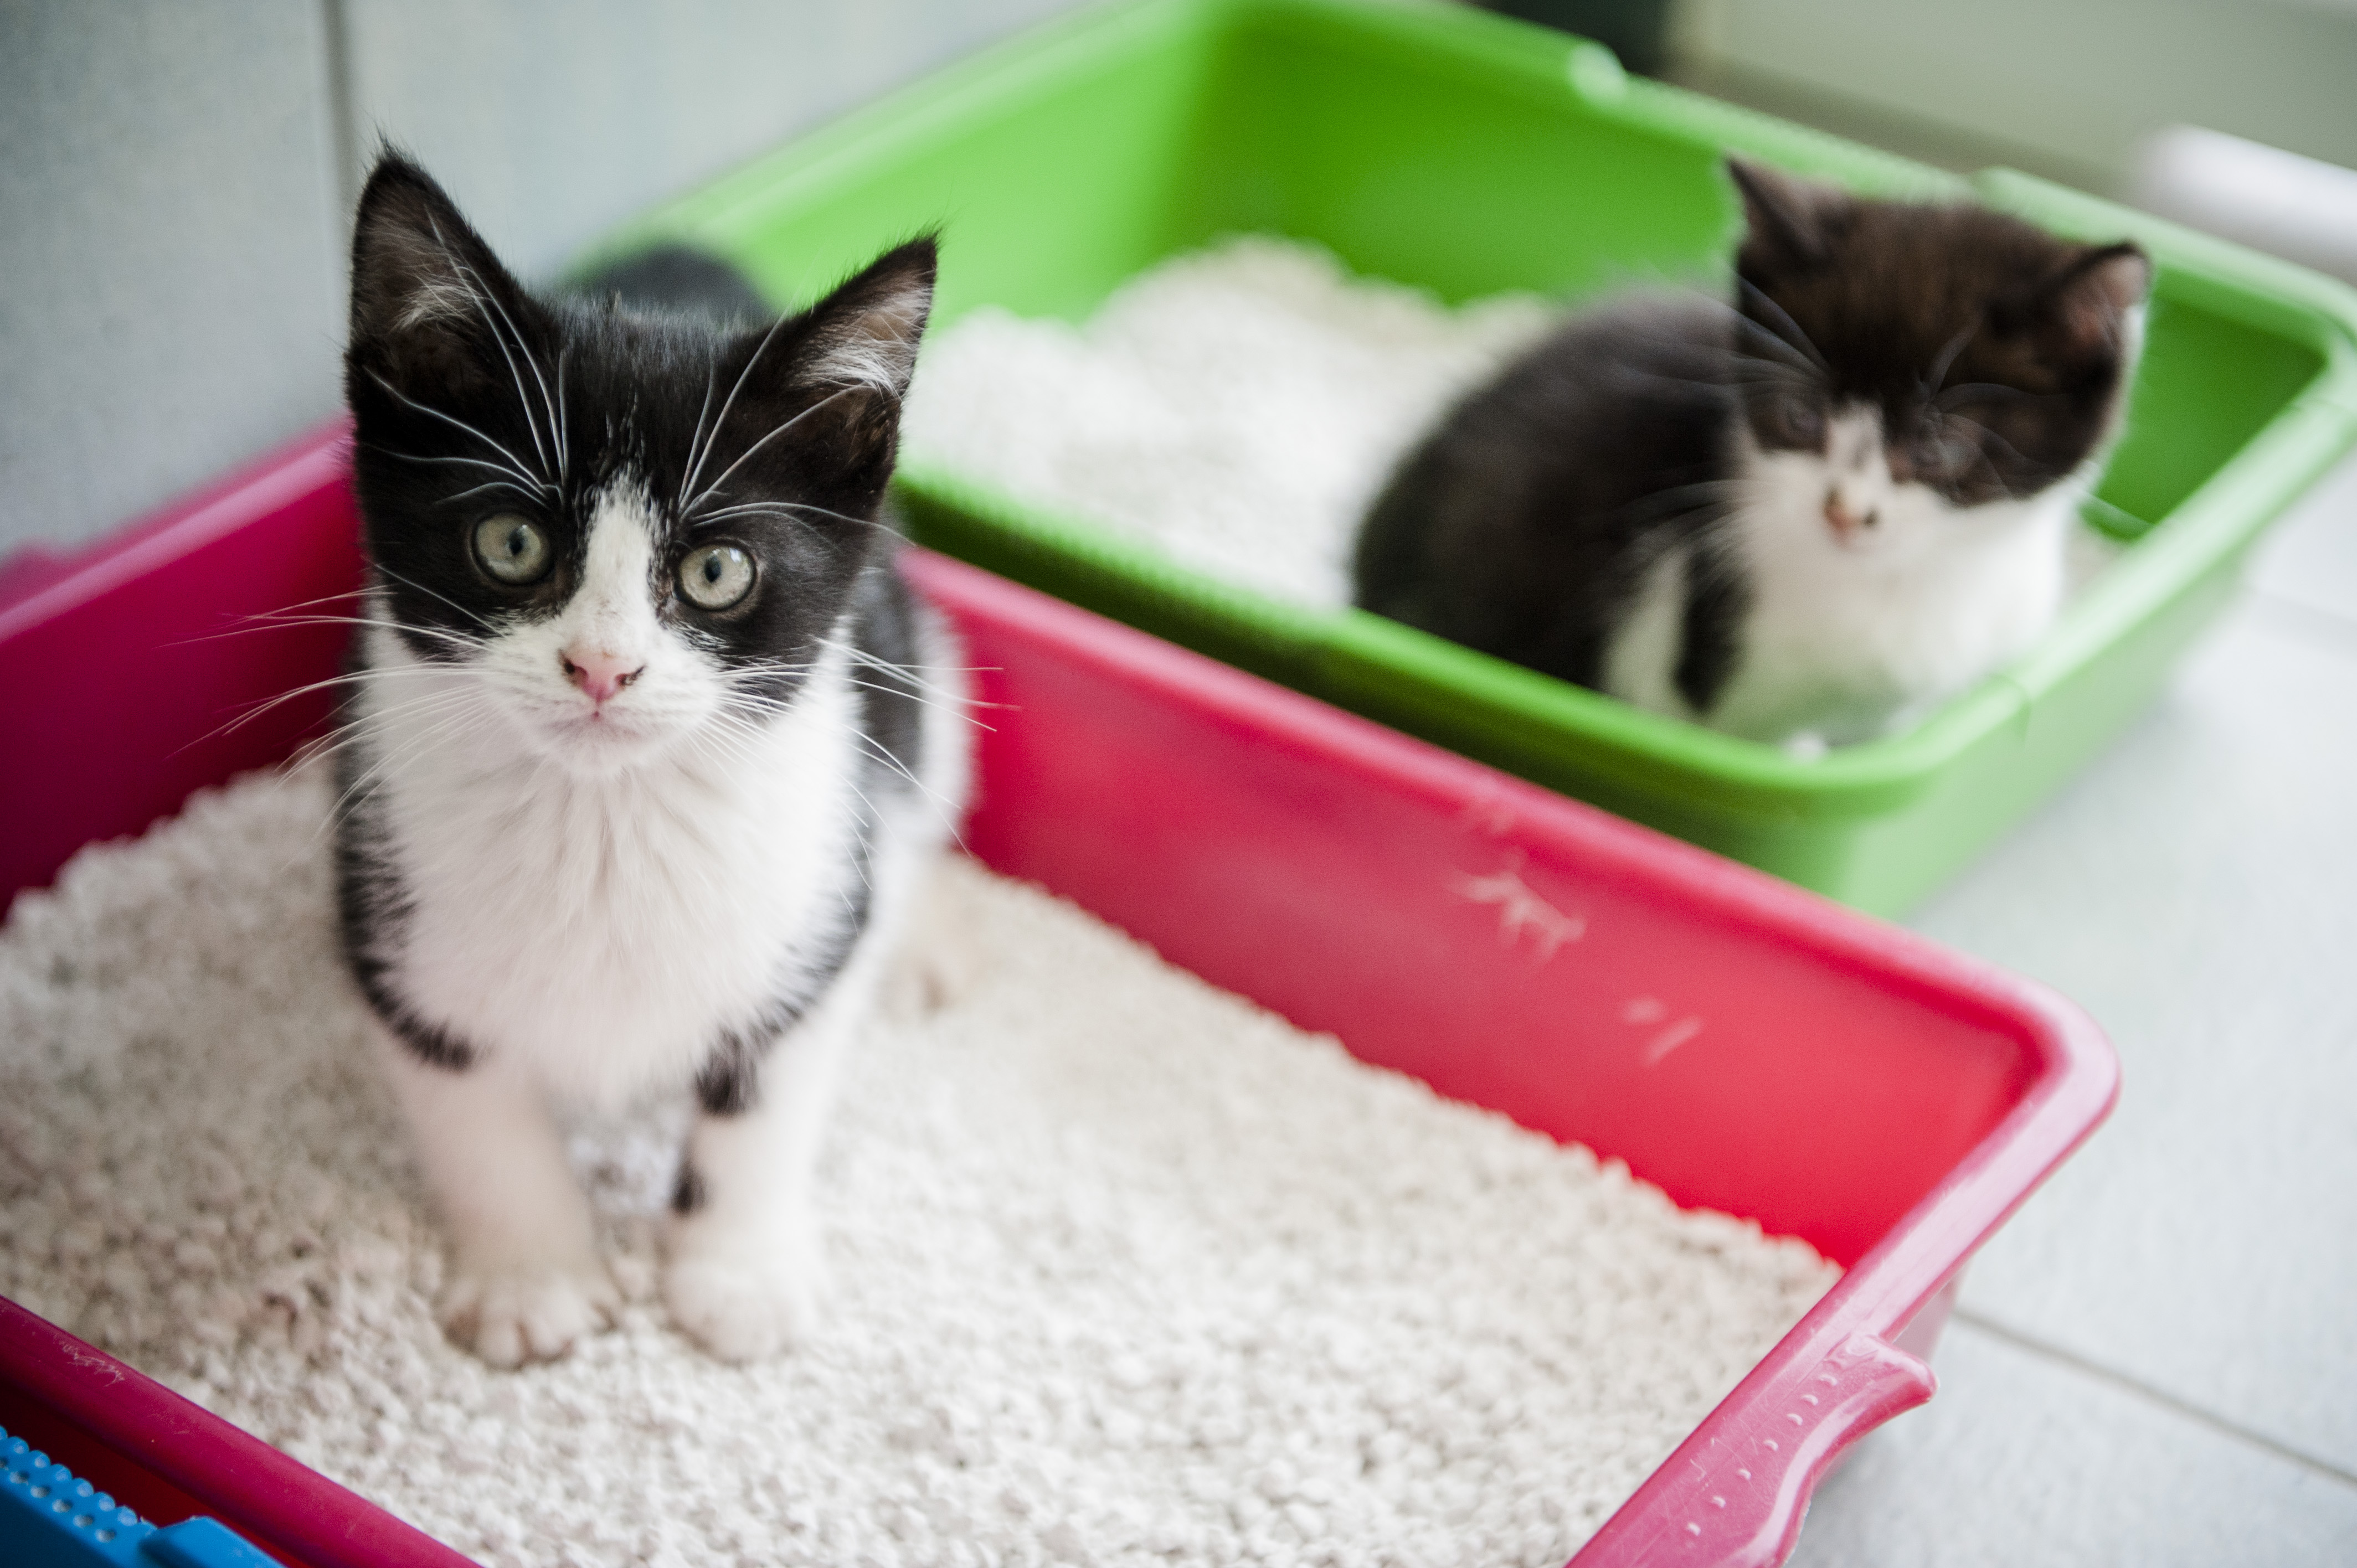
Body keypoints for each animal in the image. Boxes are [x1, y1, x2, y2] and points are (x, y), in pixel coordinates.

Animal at [334, 153, 966, 1368]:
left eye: (717, 570)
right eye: (512, 543)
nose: (602, 668)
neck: (605, 816)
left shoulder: (812, 923)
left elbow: (763, 1109)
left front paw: (737, 1279)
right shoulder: (386, 925)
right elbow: (478, 1116)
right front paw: (533, 1279)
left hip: (917, 681)